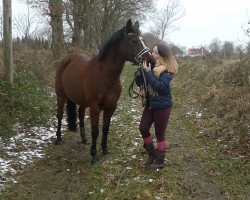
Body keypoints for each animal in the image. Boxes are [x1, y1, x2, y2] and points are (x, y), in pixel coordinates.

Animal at [54, 19, 153, 164]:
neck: (105, 75)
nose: (151, 61)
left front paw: (105, 150)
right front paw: (94, 156)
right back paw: (59, 138)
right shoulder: (95, 107)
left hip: (82, 100)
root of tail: (67, 58)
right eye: (134, 40)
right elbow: (95, 131)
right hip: (61, 95)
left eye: (142, 40)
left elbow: (105, 128)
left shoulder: (111, 107)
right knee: (60, 115)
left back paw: (84, 139)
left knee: (80, 115)